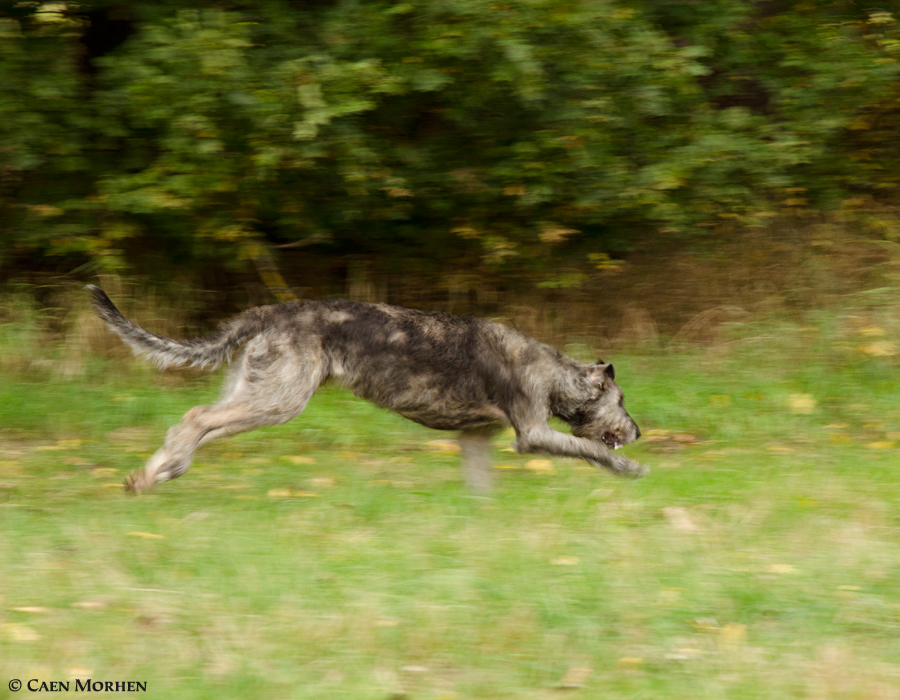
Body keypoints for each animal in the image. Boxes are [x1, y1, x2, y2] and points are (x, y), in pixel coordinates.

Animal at [88, 284, 648, 492]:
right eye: (622, 401)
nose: (639, 433)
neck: (554, 373)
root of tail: (270, 312)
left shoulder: (476, 437)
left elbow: (480, 484)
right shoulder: (531, 431)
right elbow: (588, 449)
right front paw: (630, 468)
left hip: (257, 390)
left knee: (200, 424)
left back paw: (155, 471)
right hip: (280, 397)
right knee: (195, 418)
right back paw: (163, 471)